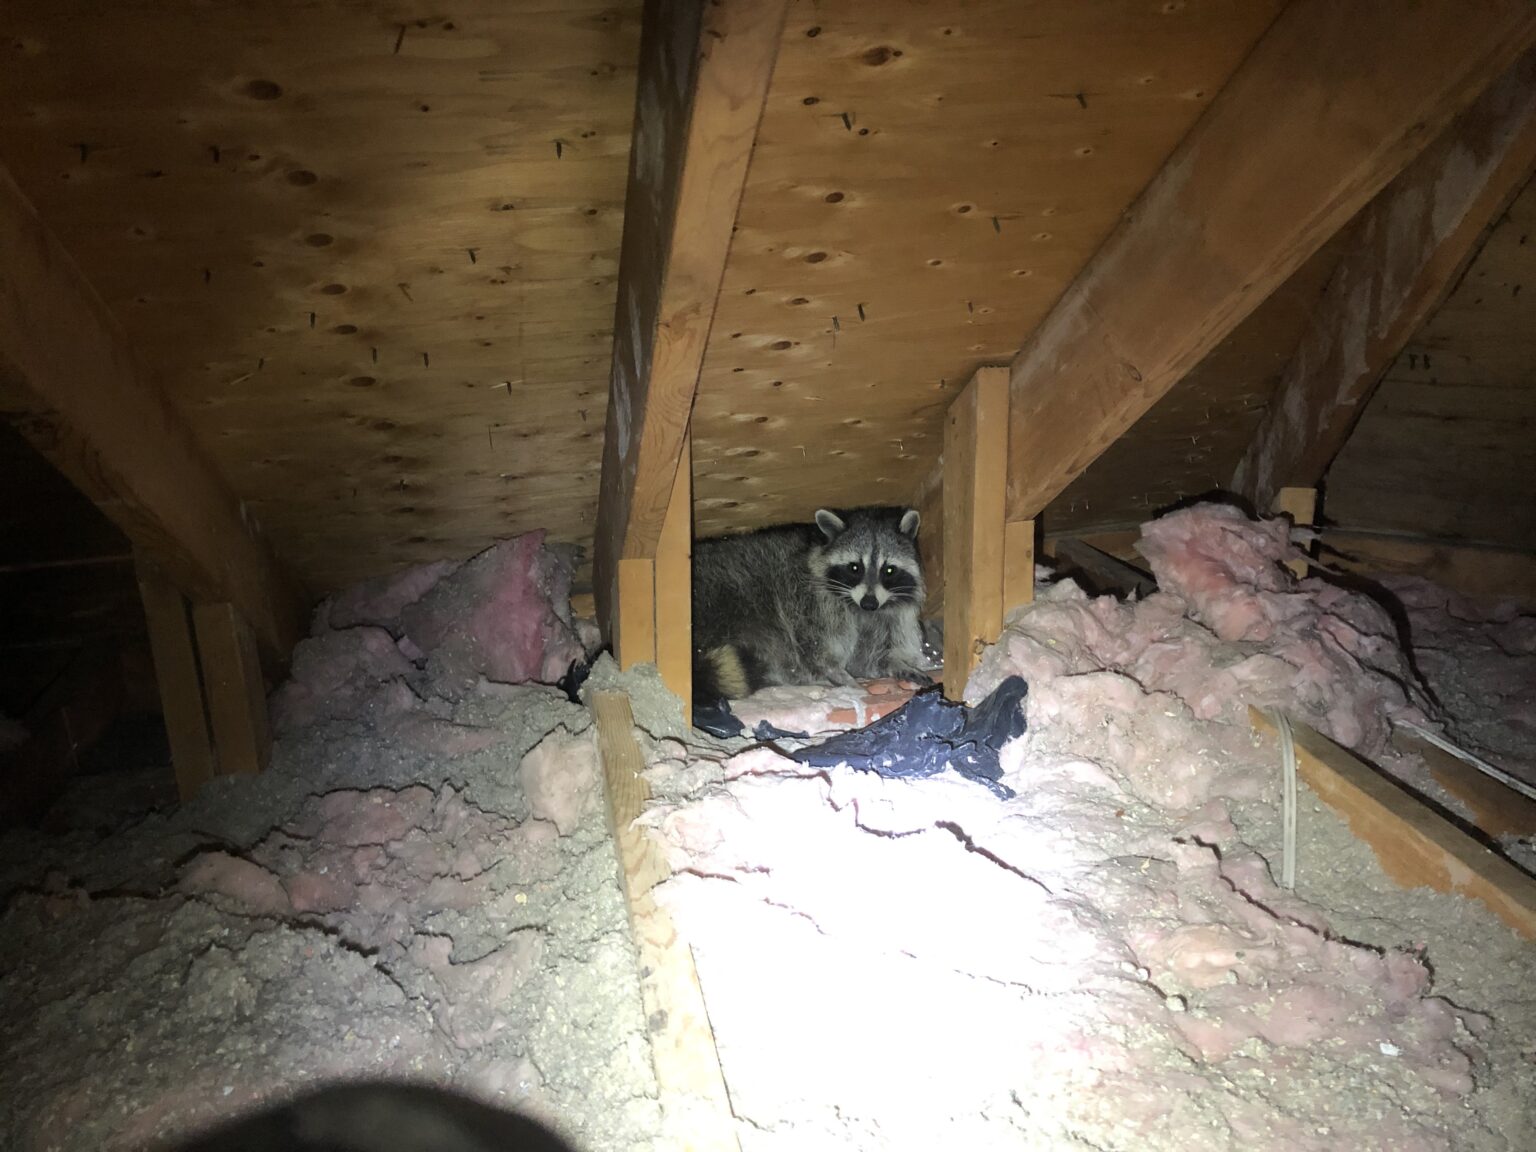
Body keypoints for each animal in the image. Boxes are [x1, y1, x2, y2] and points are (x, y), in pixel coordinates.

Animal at [692, 506, 929, 701]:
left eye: (889, 570)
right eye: (855, 568)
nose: (869, 603)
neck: (858, 608)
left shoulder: (886, 619)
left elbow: (866, 658)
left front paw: (895, 664)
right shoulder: (810, 603)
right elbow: (818, 650)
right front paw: (840, 676)